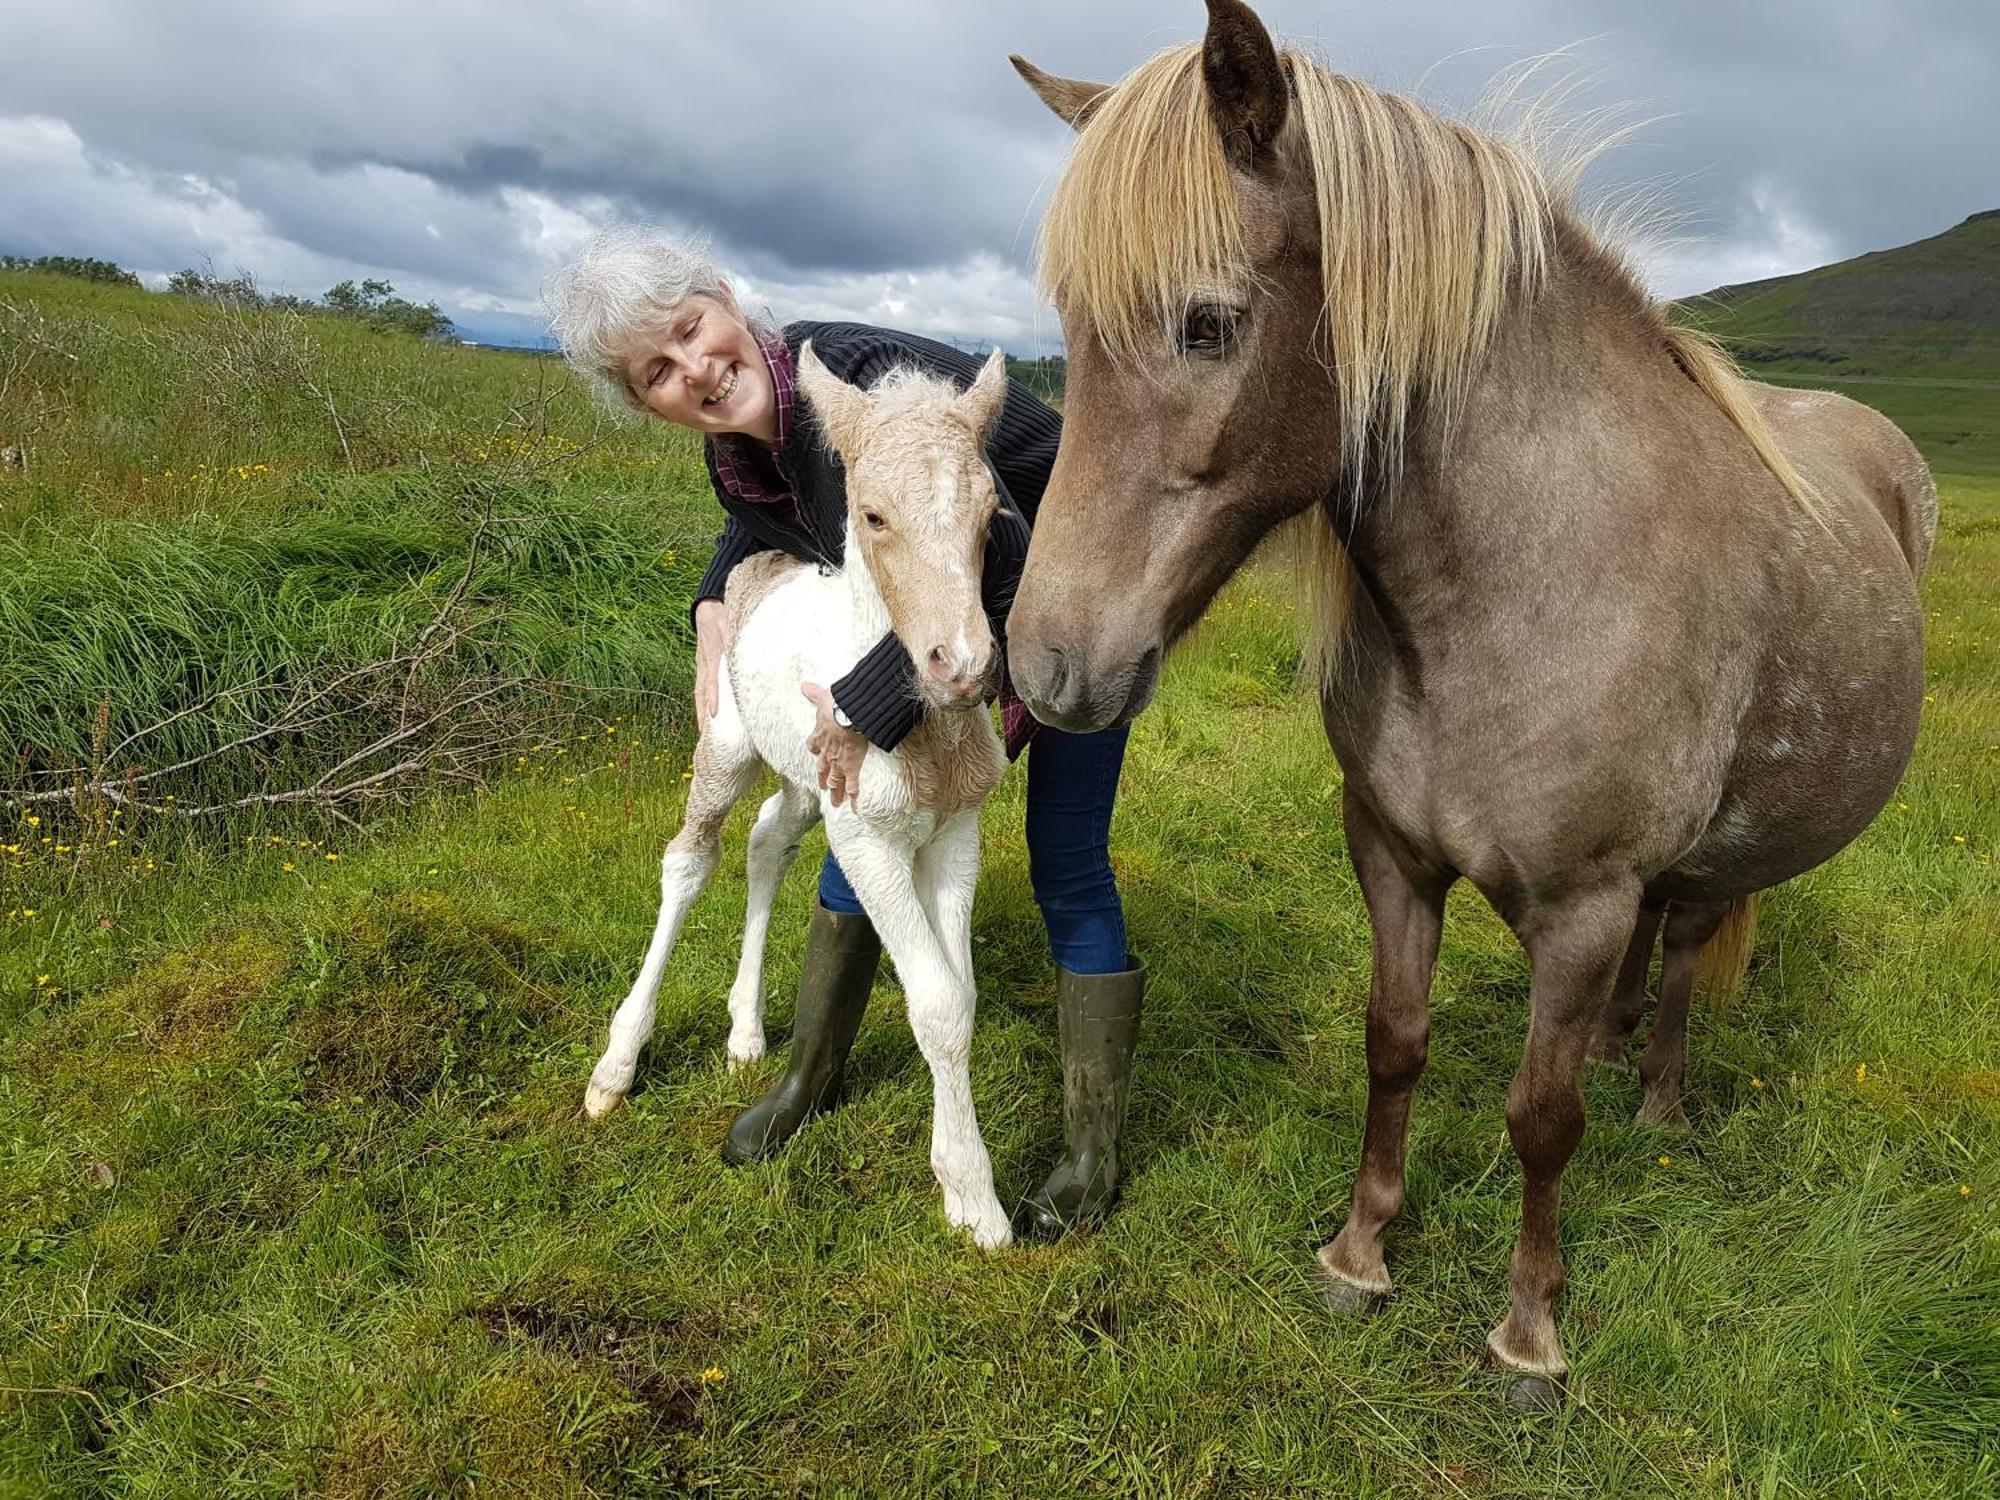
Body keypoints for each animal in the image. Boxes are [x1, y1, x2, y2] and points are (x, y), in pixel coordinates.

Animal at [1008, 0, 1928, 1408]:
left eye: (1207, 325)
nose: (1045, 665)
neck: (1517, 587)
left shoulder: (1580, 901)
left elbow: (1541, 1120)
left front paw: (1528, 1333)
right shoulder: (1390, 852)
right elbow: (1394, 1041)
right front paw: (1358, 1253)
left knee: (1678, 948)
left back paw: (1658, 1102)